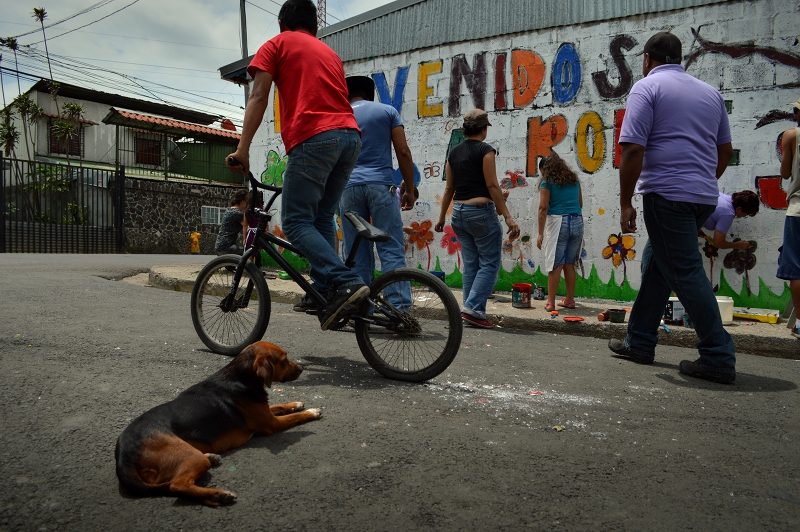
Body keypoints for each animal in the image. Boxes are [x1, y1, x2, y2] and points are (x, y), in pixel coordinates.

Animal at [114, 340, 320, 508]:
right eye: (284, 359)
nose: (302, 369)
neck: (240, 377)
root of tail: (122, 455)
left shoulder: (266, 412)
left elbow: (281, 406)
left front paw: (296, 404)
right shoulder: (271, 424)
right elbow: (296, 418)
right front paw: (312, 412)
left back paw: (213, 477)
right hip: (189, 457)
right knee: (177, 485)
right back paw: (218, 493)